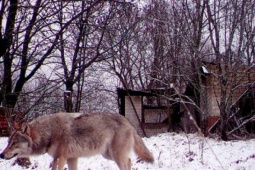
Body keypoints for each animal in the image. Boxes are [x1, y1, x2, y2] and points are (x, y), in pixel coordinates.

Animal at [0, 112, 153, 169]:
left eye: (14, 143)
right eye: (8, 142)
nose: (1, 155)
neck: (50, 132)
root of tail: (127, 121)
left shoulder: (60, 158)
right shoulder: (71, 158)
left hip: (116, 156)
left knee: (127, 162)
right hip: (108, 155)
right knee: (130, 161)